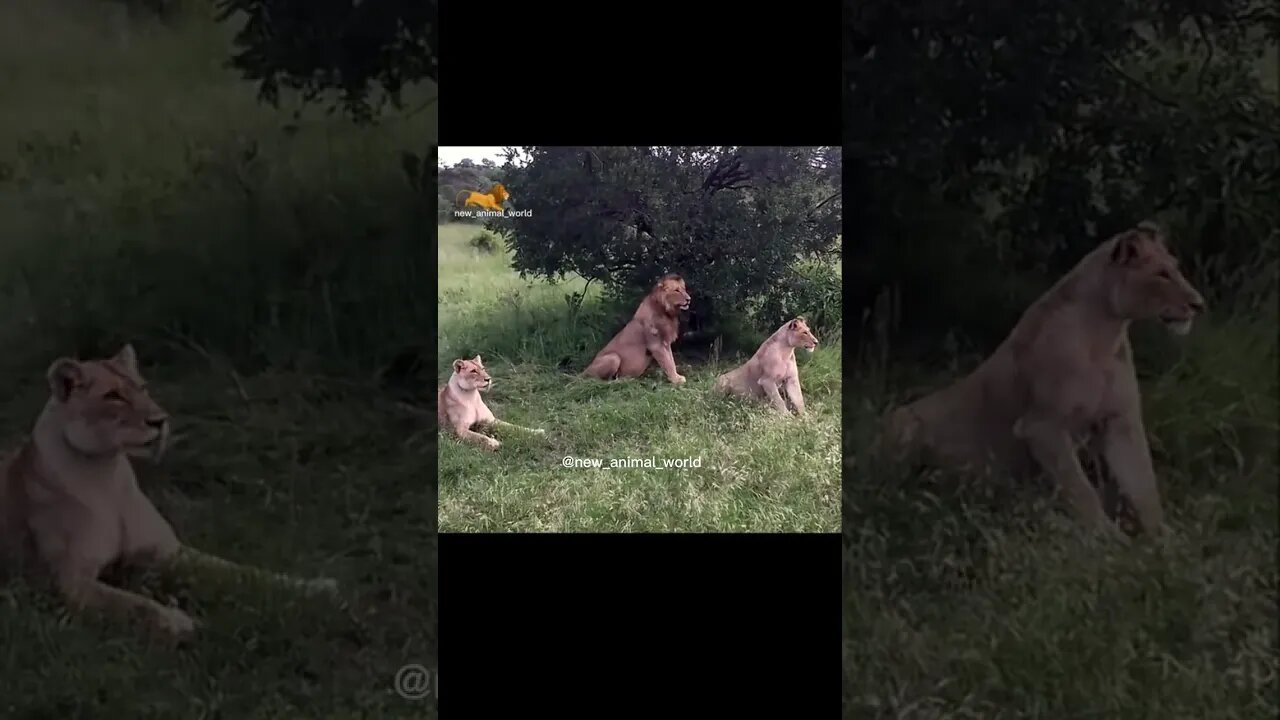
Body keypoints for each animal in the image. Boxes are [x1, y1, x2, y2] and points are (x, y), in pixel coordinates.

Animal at [0, 343, 335, 638]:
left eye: (142, 388)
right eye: (113, 396)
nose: (160, 421)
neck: (107, 475)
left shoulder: (170, 552)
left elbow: (243, 571)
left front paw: (315, 587)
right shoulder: (70, 582)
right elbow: (132, 603)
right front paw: (176, 621)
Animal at [885, 221, 1203, 535]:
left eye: (1176, 268)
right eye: (1161, 274)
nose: (1198, 304)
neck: (1104, 336)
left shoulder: (1119, 420)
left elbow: (1143, 486)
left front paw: (1165, 538)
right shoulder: (1041, 426)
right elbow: (1082, 491)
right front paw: (1109, 539)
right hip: (902, 422)